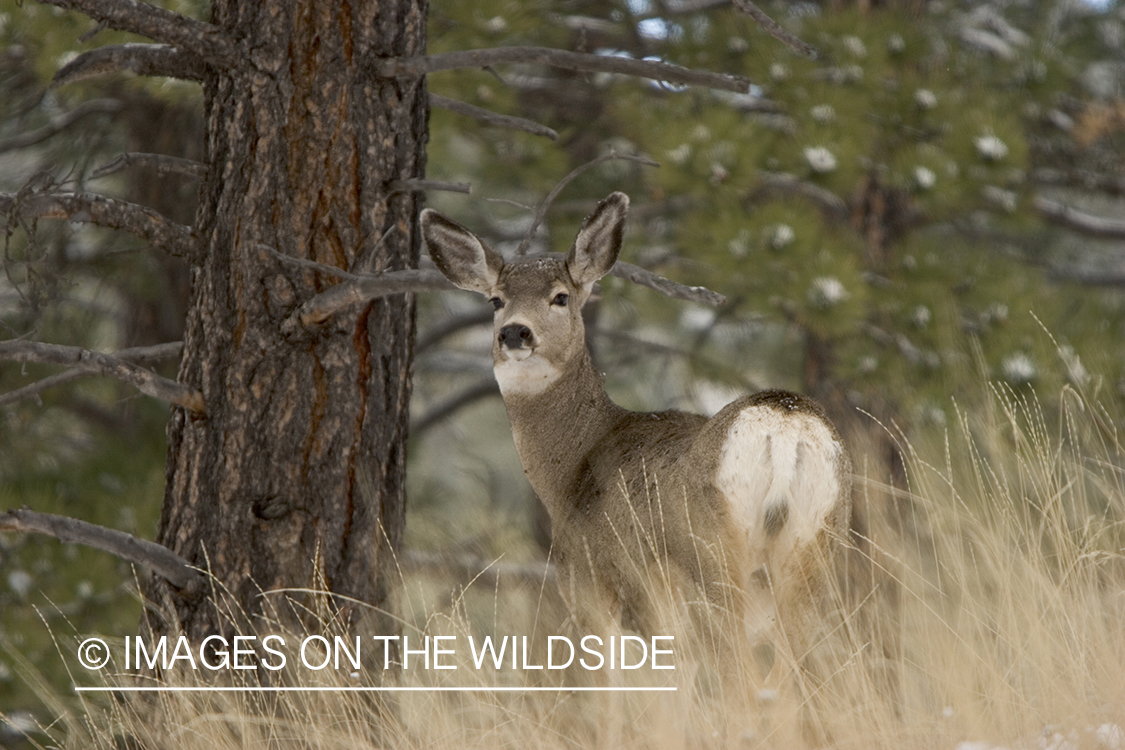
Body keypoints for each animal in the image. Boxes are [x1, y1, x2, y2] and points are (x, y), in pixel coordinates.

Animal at [420, 192, 852, 690]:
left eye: (560, 296)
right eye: (496, 300)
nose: (514, 332)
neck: (572, 467)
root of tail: (783, 418)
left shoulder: (593, 585)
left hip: (714, 560)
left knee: (744, 680)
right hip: (815, 550)